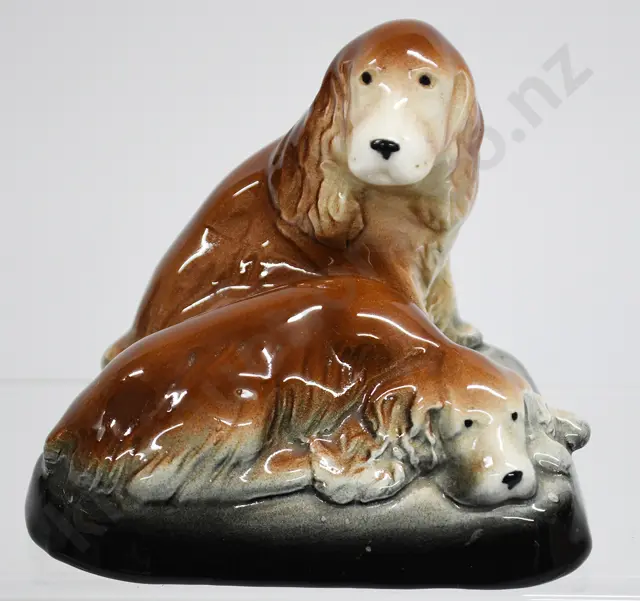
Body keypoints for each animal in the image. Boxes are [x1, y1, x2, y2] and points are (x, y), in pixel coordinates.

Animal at [47, 277, 588, 507]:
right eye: (466, 424)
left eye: (513, 418)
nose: (513, 477)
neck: (416, 351)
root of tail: (71, 428)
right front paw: (363, 473)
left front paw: (561, 429)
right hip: (244, 408)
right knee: (163, 486)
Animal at [103, 19, 485, 365]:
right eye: (366, 78)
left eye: (425, 80)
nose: (384, 145)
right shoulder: (385, 261)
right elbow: (412, 310)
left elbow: (445, 288)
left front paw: (459, 331)